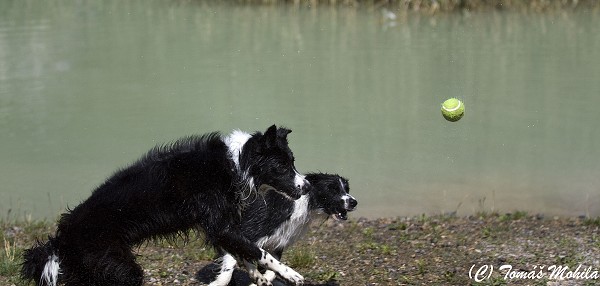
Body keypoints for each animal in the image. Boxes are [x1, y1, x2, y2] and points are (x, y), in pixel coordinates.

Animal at [21, 125, 310, 286]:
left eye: (293, 161)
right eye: (282, 165)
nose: (307, 187)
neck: (236, 163)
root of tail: (62, 236)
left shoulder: (218, 227)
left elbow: (243, 252)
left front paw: (258, 277)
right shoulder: (219, 225)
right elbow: (259, 251)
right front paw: (291, 274)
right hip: (118, 267)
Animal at [210, 172, 356, 286]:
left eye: (347, 189)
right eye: (333, 189)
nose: (354, 202)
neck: (299, 203)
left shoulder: (278, 242)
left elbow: (271, 267)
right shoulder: (240, 232)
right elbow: (230, 267)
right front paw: (218, 282)